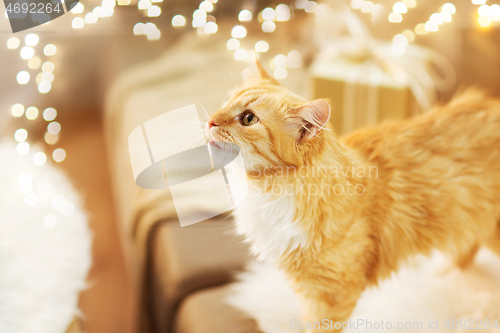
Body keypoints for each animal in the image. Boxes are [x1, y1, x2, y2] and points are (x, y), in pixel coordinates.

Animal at [205, 61, 500, 330]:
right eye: (226, 102)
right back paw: (443, 274)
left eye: (248, 118)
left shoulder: (333, 293)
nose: (210, 120)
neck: (269, 189)